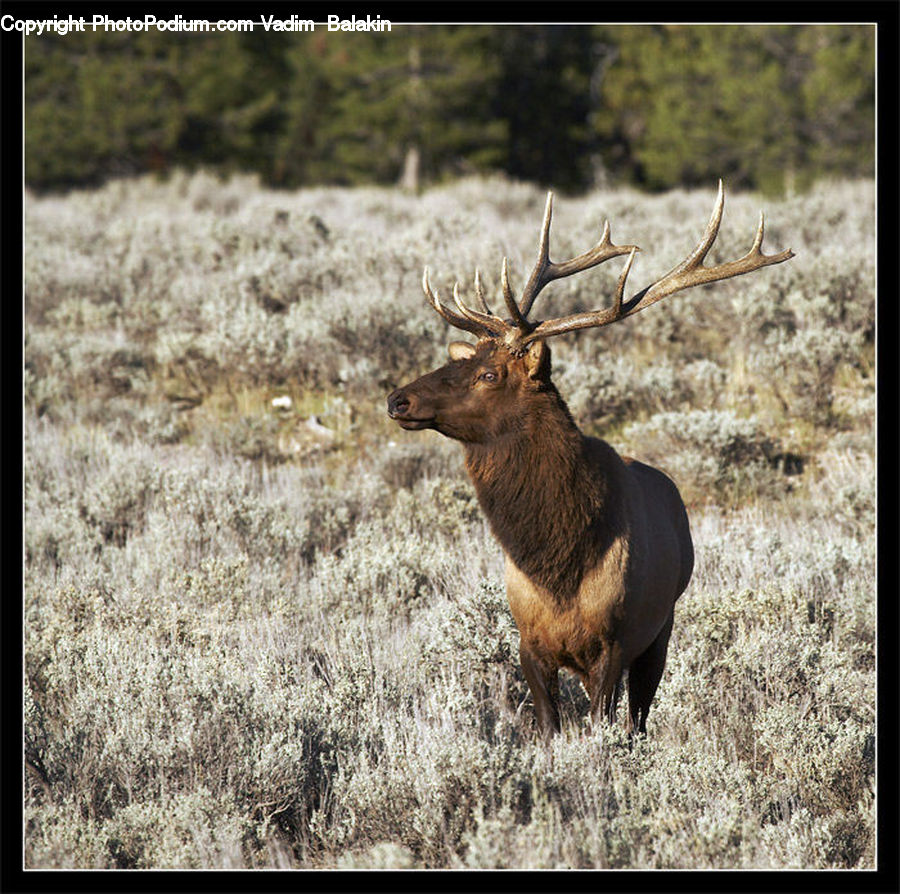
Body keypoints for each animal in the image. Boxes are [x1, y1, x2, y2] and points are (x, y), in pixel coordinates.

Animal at [387, 181, 793, 737]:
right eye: (463, 359)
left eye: (490, 374)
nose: (398, 400)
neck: (556, 565)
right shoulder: (530, 642)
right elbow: (549, 730)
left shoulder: (614, 642)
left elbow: (606, 723)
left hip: (661, 629)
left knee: (638, 717)